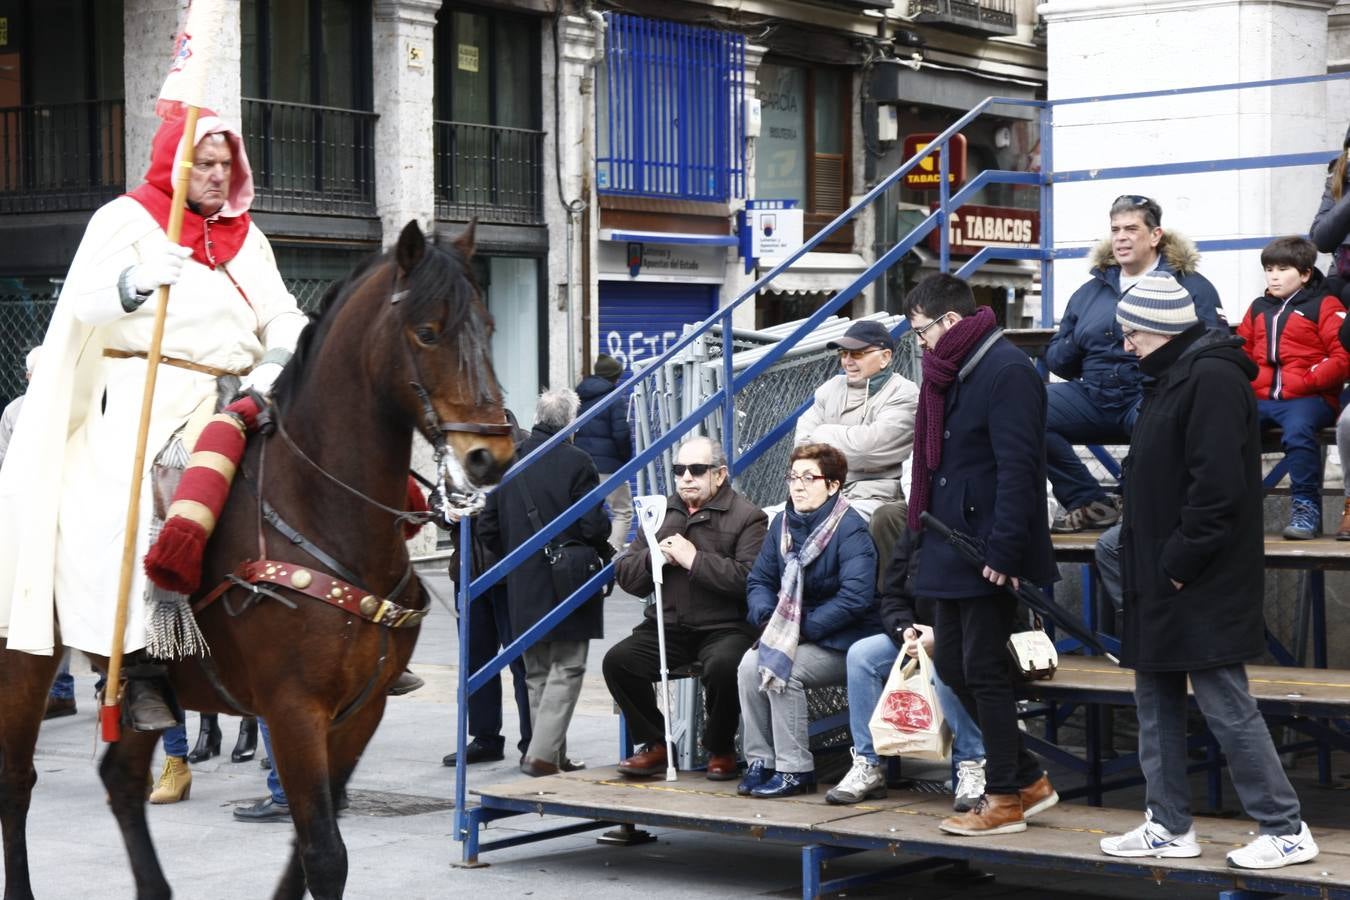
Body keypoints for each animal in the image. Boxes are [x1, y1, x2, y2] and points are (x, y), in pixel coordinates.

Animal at [0, 219, 513, 900]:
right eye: (427, 332)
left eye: (489, 327)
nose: (490, 455)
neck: (319, 507)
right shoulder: (293, 711)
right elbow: (324, 853)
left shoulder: (360, 712)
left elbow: (306, 849)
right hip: (22, 657)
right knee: (16, 782)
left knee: (121, 778)